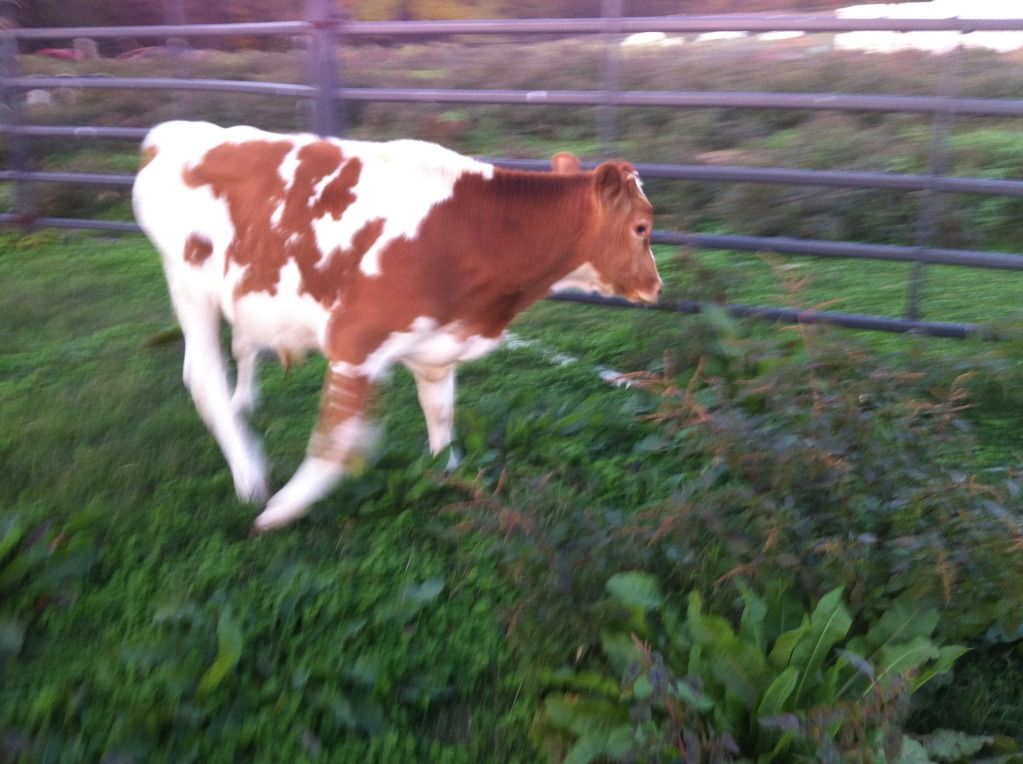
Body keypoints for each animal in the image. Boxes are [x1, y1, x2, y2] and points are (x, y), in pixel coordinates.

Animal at [132, 121, 661, 534]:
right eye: (641, 228)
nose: (657, 286)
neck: (475, 228)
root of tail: (176, 133)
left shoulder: (437, 346)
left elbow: (441, 415)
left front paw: (448, 475)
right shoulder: (355, 342)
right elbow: (337, 445)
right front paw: (282, 509)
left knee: (243, 347)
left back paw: (245, 405)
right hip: (189, 286)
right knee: (204, 378)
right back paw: (249, 476)